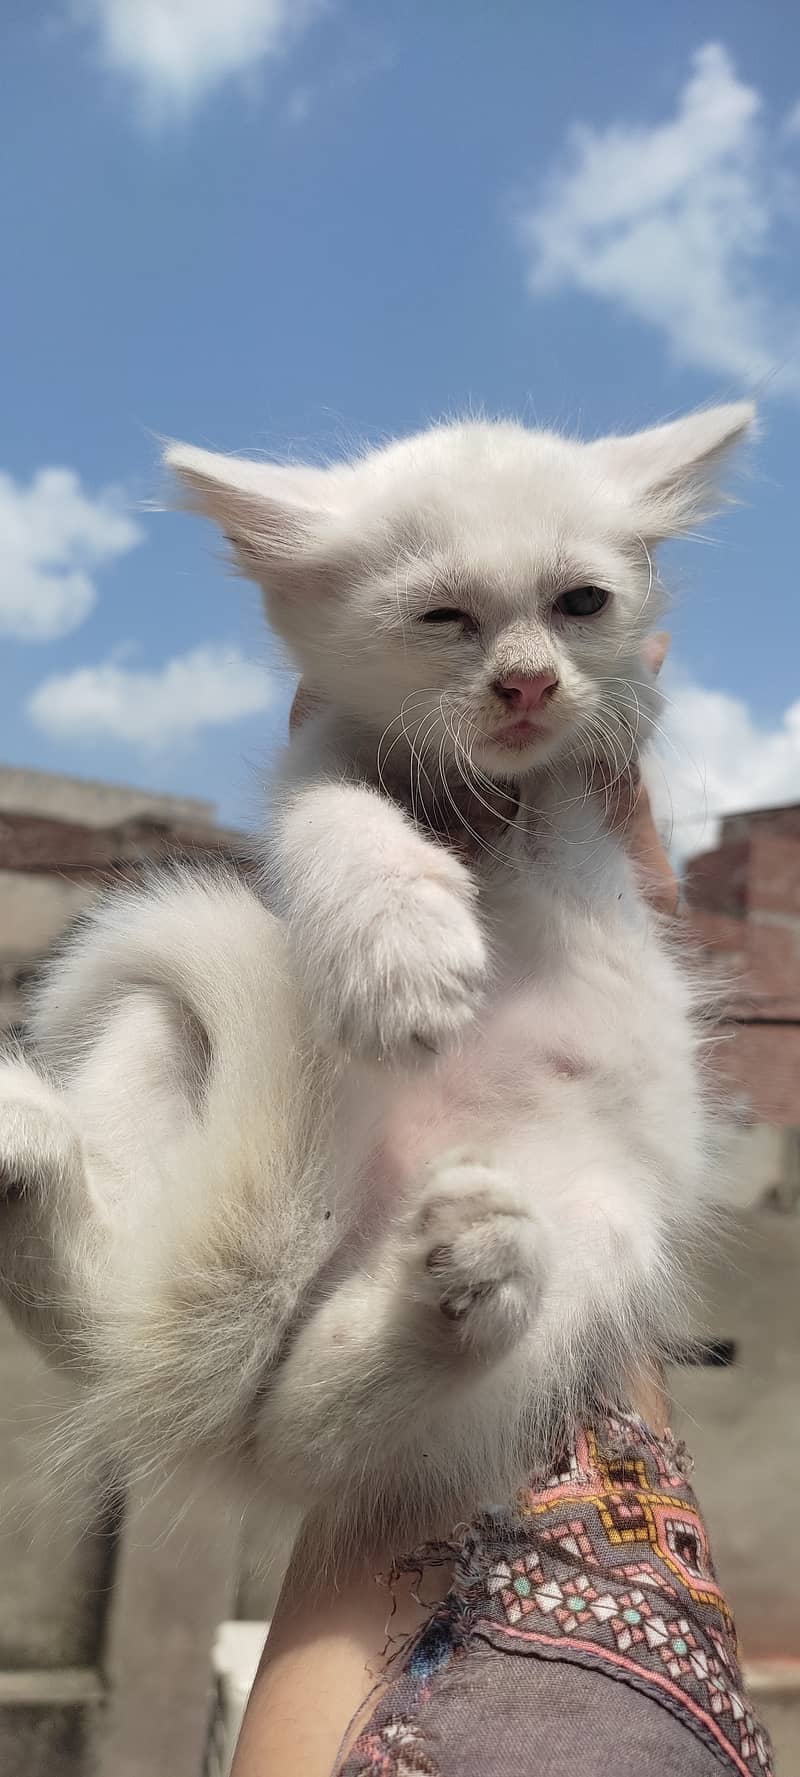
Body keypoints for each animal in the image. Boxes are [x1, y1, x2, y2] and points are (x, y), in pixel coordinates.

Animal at [0, 403, 753, 1556]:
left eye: (580, 602)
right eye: (444, 616)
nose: (528, 682)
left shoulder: (587, 781)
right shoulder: (321, 744)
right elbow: (334, 809)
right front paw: (397, 952)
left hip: (609, 1222)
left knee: (307, 1432)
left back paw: (466, 1272)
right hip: (153, 1026)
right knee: (147, 1335)